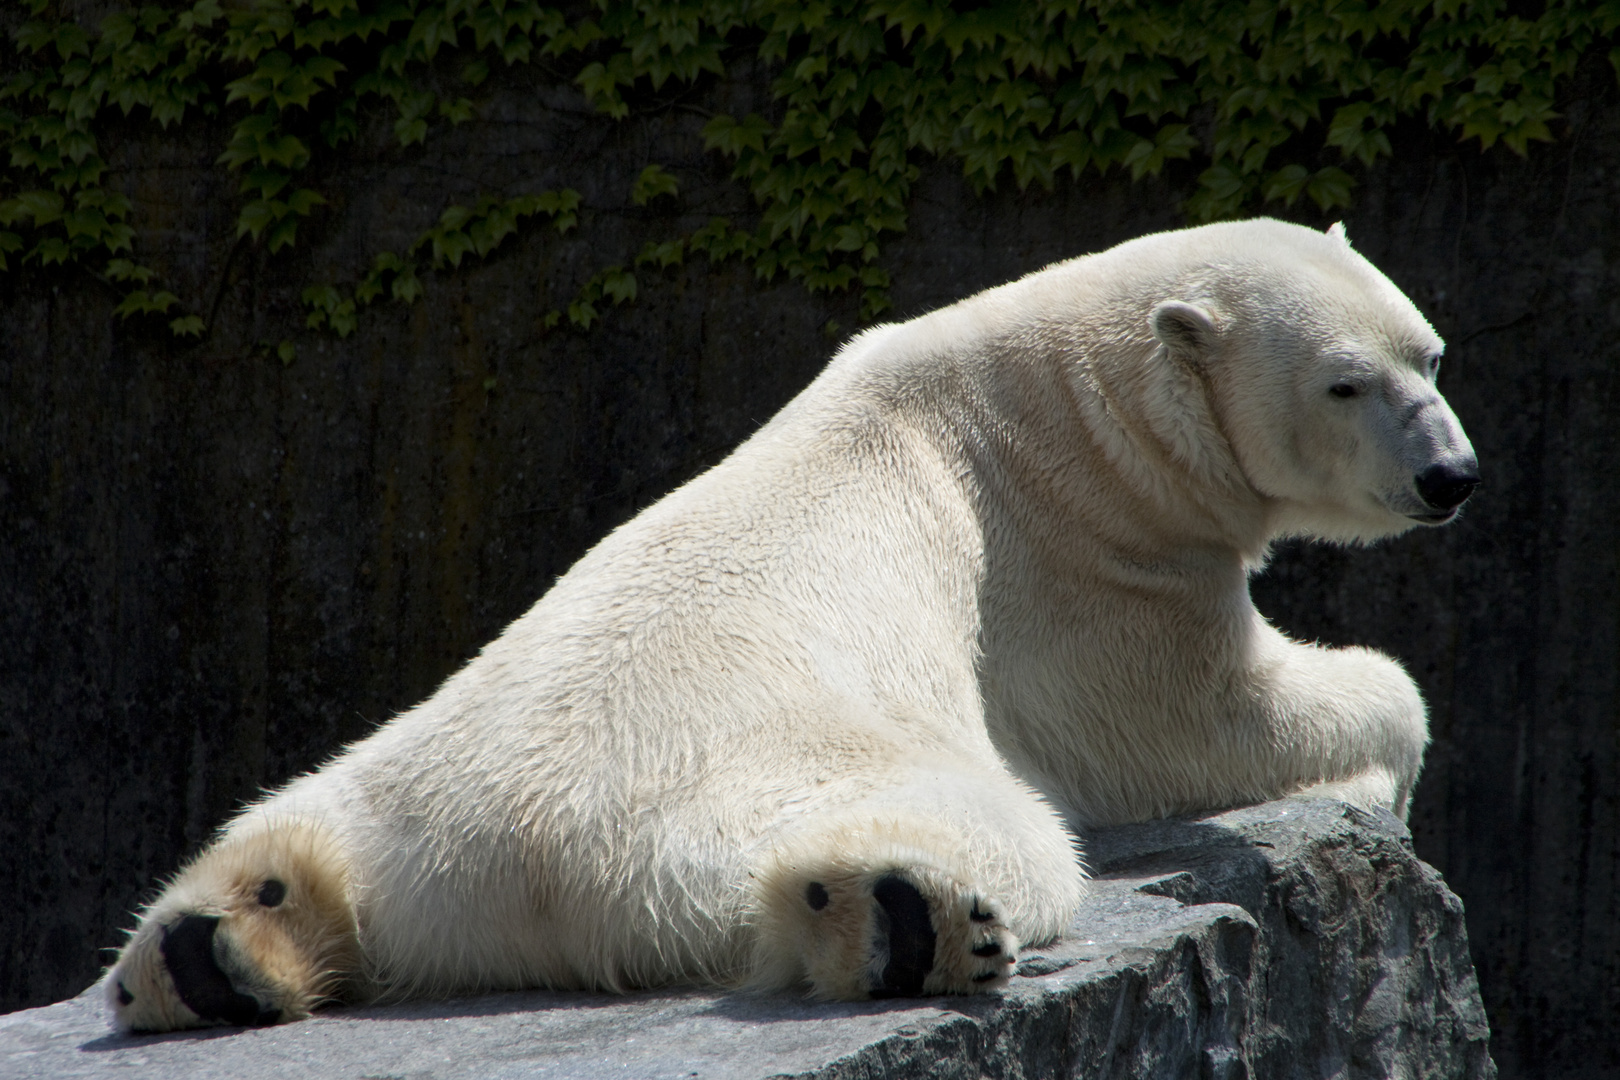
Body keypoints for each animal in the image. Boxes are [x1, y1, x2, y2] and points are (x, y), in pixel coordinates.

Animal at [107, 216, 1483, 1029]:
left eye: (1431, 353)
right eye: (1345, 383)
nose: (1450, 476)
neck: (1063, 400)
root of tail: (500, 882)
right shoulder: (1084, 557)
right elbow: (1200, 720)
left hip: (388, 768)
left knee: (280, 834)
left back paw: (216, 946)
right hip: (759, 778)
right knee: (990, 835)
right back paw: (901, 916)